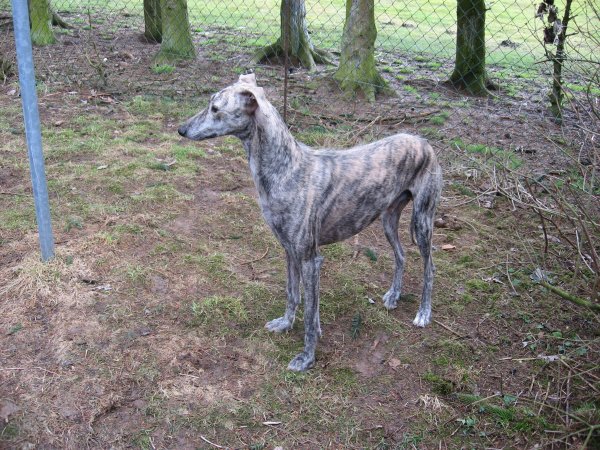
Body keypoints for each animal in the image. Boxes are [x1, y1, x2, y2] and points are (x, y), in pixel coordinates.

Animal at [178, 73, 442, 371]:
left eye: (215, 108)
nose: (181, 129)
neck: (287, 168)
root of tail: (423, 142)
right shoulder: (289, 251)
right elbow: (294, 294)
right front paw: (285, 323)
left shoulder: (309, 258)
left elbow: (308, 310)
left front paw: (306, 357)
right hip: (388, 218)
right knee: (400, 255)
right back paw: (394, 296)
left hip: (423, 220)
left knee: (429, 268)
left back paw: (423, 313)